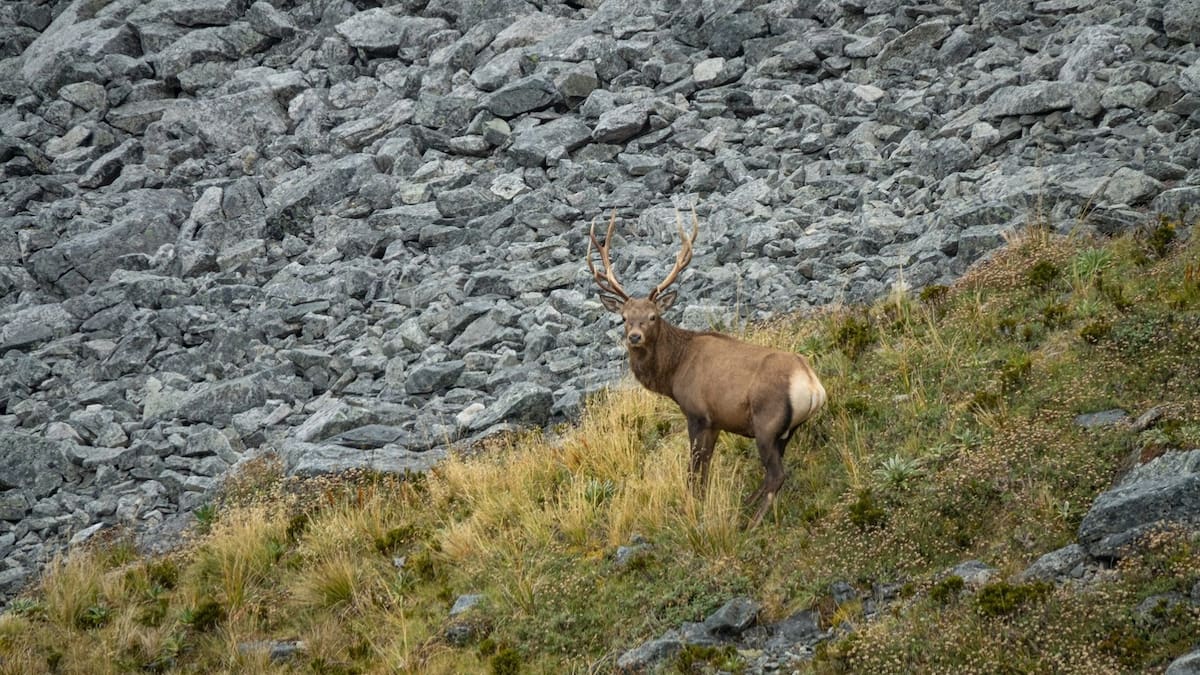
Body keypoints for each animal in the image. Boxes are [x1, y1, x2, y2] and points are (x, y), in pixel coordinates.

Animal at [587, 209, 827, 528]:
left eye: (653, 316)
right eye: (624, 317)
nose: (634, 337)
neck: (673, 373)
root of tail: (813, 387)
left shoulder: (697, 413)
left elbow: (694, 467)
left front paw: (692, 503)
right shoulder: (716, 422)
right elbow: (707, 466)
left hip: (766, 423)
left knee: (776, 475)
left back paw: (751, 523)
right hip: (787, 431)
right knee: (772, 474)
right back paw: (748, 504)